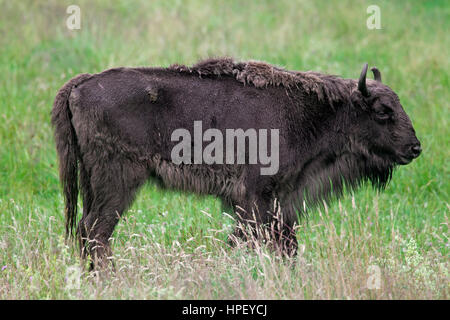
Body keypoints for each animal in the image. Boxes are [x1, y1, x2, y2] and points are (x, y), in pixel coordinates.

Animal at [51, 58, 422, 268]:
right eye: (383, 111)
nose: (415, 147)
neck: (316, 112)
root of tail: (80, 84)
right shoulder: (257, 198)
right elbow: (251, 240)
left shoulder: (281, 204)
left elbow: (283, 244)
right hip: (118, 182)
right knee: (96, 232)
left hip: (93, 183)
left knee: (87, 232)